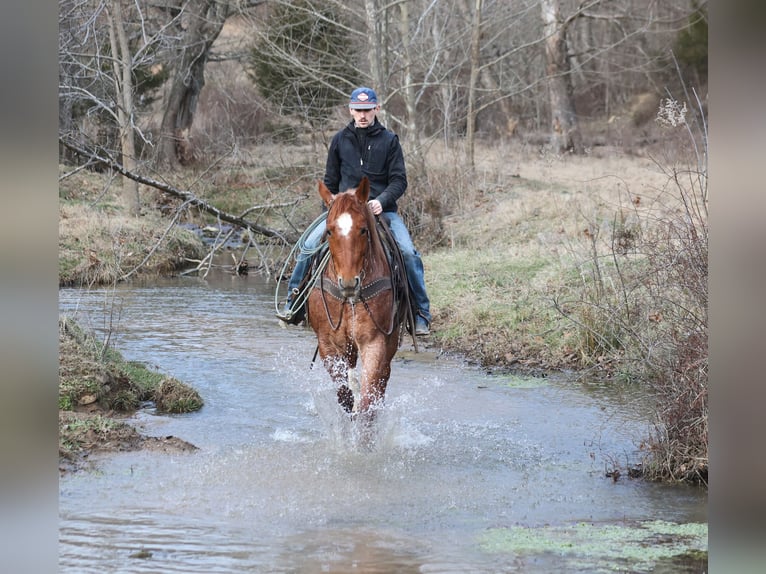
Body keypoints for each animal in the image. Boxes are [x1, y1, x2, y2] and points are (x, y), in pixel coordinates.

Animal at [306, 177, 415, 428]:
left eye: (363, 230)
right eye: (329, 231)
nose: (348, 282)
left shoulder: (374, 343)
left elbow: (367, 403)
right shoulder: (327, 344)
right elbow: (345, 398)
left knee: (381, 384)